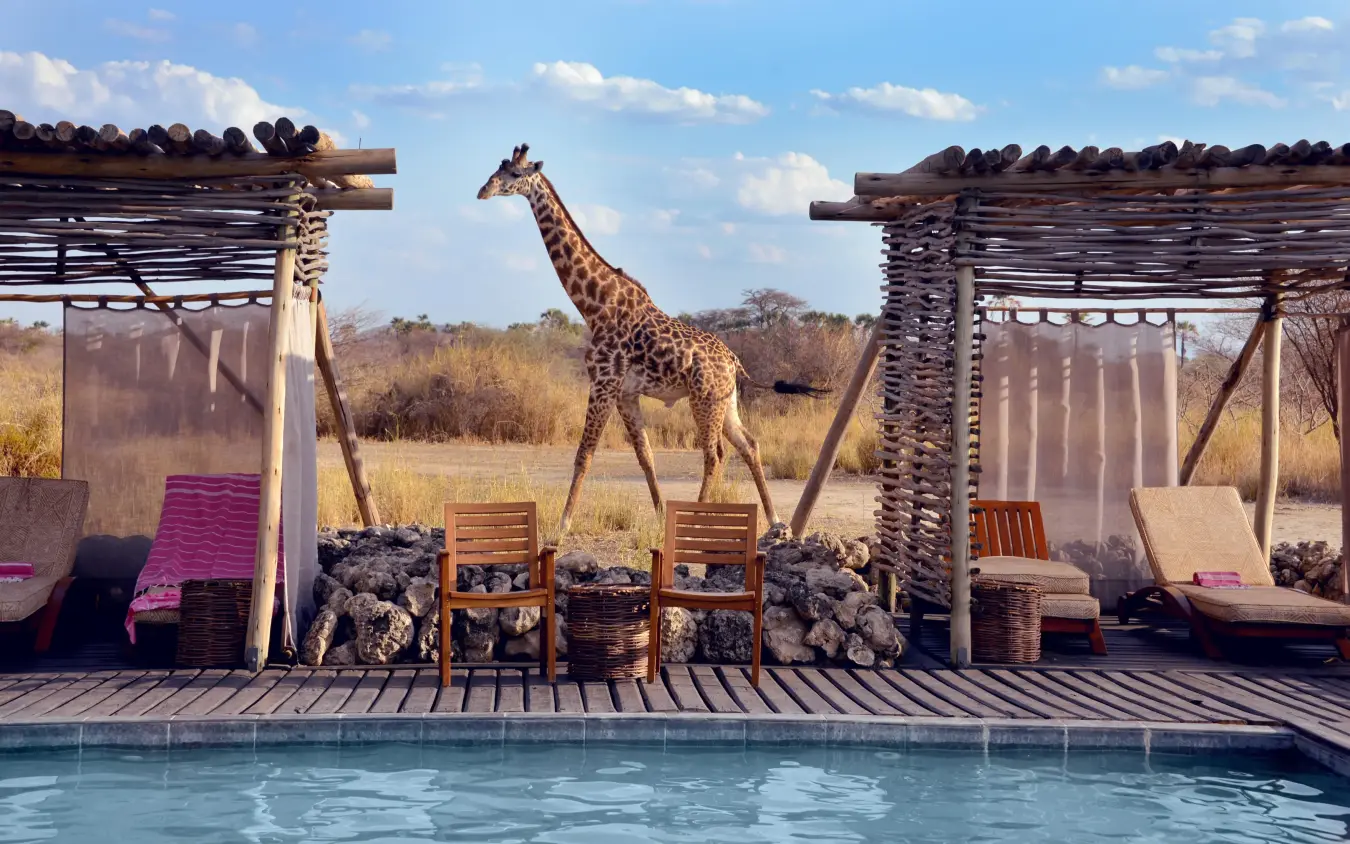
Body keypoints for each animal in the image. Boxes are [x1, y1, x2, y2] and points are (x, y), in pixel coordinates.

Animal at [477, 144, 827, 536]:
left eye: (513, 174)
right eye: (497, 169)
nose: (483, 191)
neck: (594, 304)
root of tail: (734, 361)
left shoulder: (603, 383)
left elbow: (584, 454)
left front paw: (562, 526)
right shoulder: (625, 393)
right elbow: (645, 455)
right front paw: (660, 515)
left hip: (704, 400)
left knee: (714, 455)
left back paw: (698, 520)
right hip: (726, 401)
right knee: (748, 445)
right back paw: (774, 520)